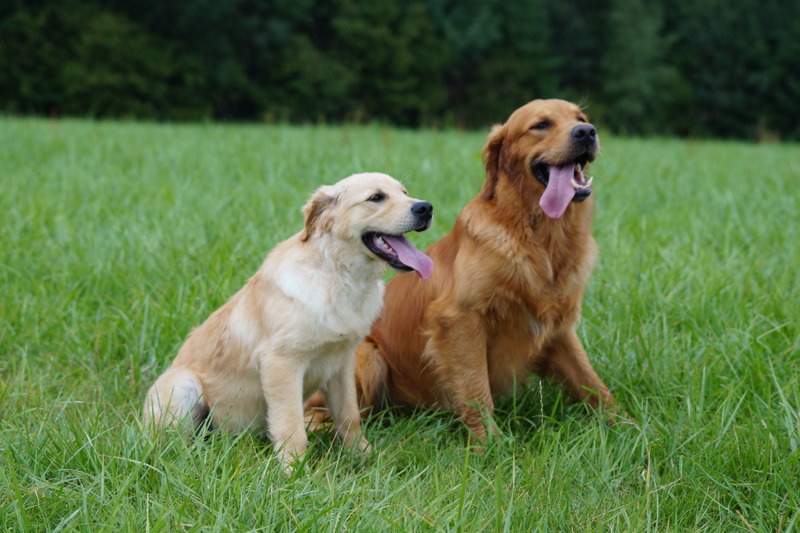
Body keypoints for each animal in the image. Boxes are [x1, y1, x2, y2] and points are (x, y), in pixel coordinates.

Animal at [142, 172, 432, 468]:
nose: (426, 208)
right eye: (376, 197)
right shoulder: (281, 362)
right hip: (182, 386)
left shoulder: (341, 362)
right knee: (172, 442)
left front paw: (363, 457)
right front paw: (294, 471)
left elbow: (349, 417)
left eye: (404, 192)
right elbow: (292, 426)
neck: (338, 275)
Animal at [310, 98, 616, 440]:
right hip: (368, 355)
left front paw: (629, 428)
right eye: (541, 124)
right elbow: (476, 389)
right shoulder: (459, 320)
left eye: (580, 117)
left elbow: (594, 385)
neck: (538, 236)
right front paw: (490, 445)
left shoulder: (558, 326)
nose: (587, 132)